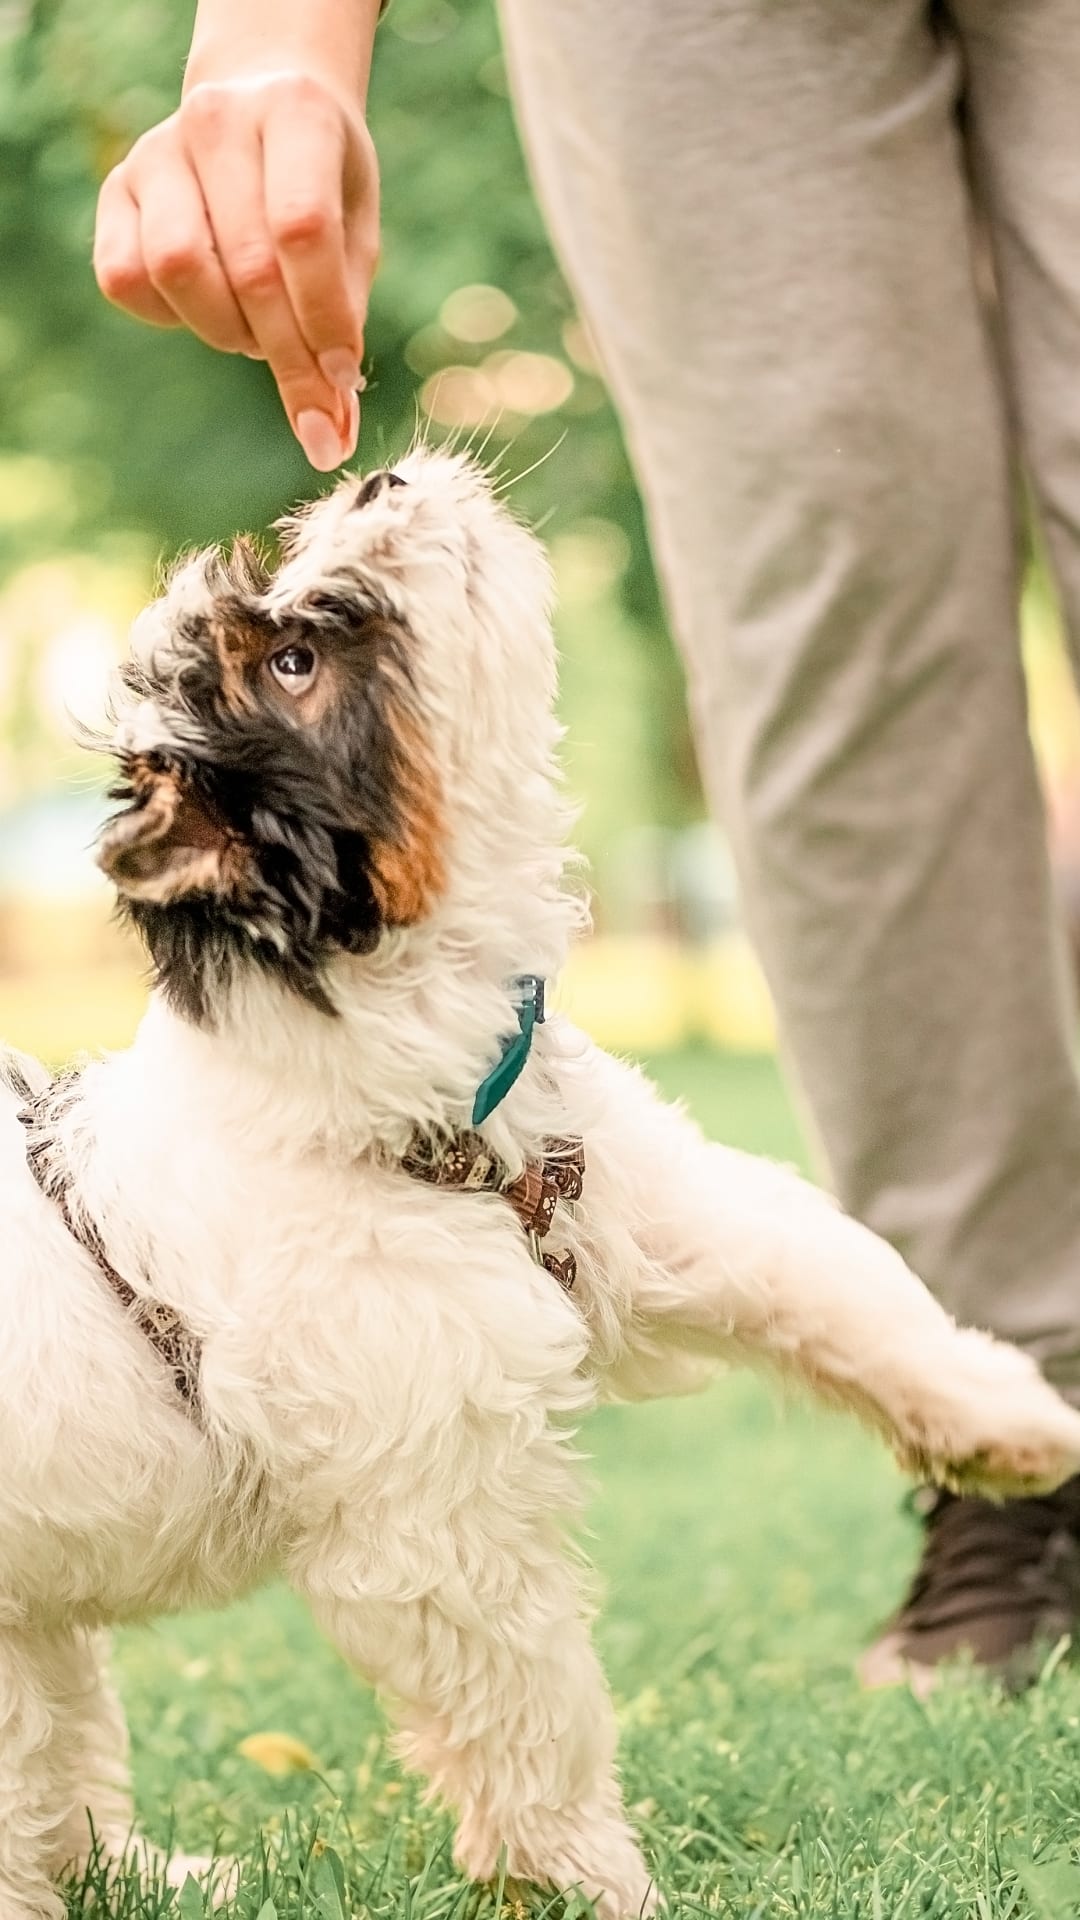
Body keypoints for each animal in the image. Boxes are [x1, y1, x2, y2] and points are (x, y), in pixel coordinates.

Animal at [2, 453, 1076, 1920]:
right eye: (294, 661)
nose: (379, 474)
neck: (413, 1113)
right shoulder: (434, 1515)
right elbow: (528, 1703)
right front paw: (587, 1874)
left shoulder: (651, 1209)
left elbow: (846, 1292)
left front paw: (1015, 1427)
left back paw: (167, 1873)